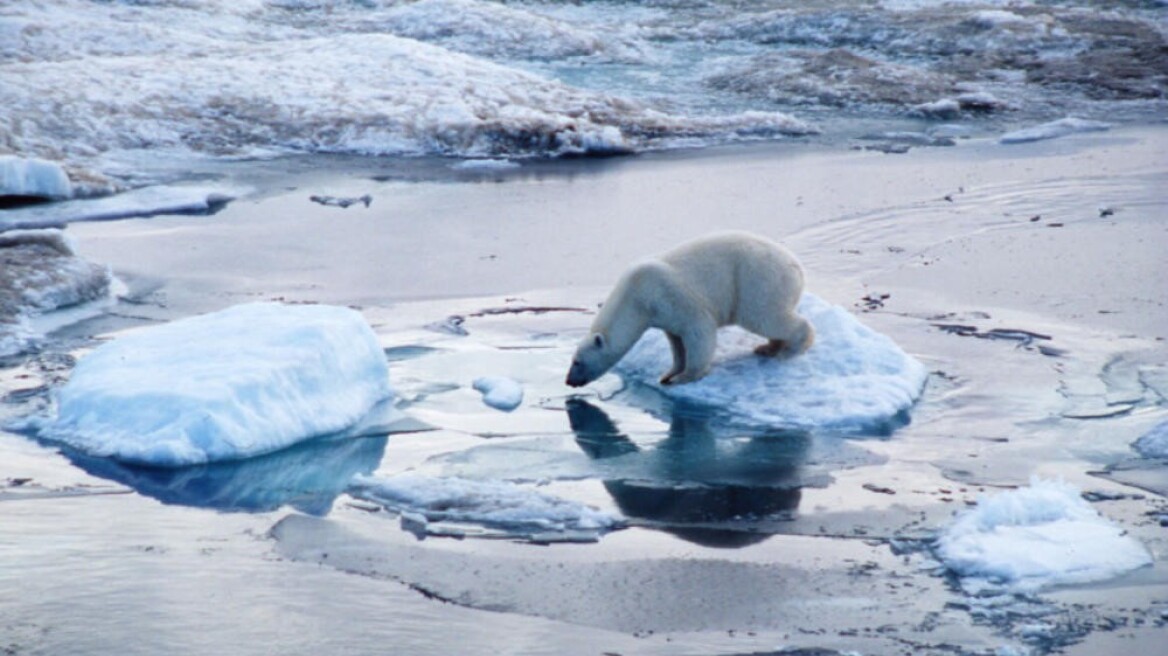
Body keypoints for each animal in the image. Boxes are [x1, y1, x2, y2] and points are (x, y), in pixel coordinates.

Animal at [565, 231, 812, 385]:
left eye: (577, 361)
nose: (568, 381)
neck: (636, 296)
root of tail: (797, 266)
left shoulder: (670, 295)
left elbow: (698, 330)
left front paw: (685, 377)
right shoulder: (663, 314)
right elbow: (676, 342)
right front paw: (668, 374)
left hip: (758, 280)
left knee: (765, 316)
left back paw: (790, 350)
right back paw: (767, 348)